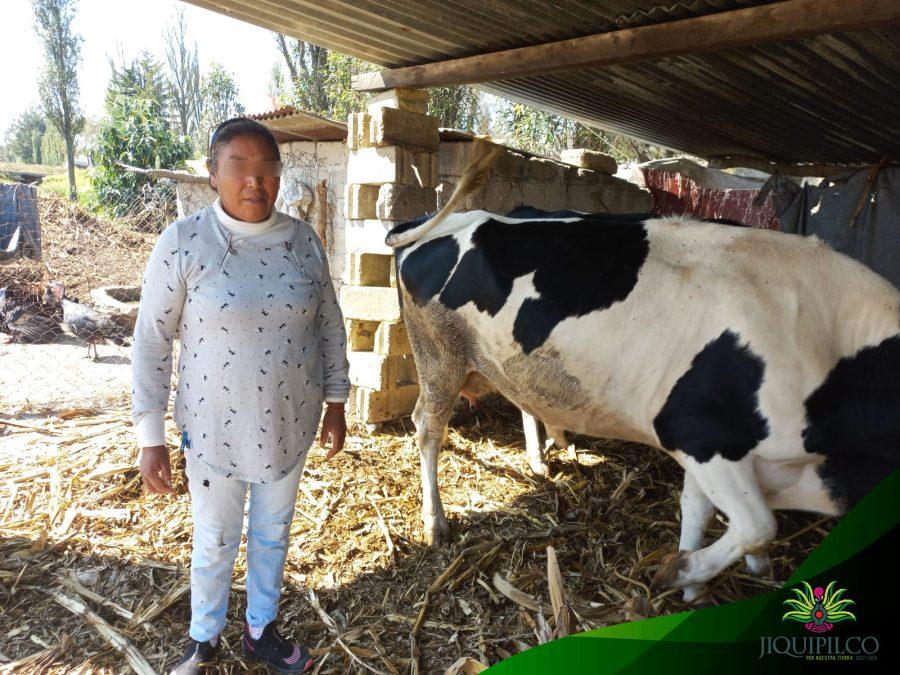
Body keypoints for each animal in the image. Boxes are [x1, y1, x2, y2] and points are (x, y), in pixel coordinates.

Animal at [384, 140, 896, 600]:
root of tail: (447, 219)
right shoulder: (701, 431)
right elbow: (757, 525)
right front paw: (683, 573)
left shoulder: (711, 447)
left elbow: (698, 510)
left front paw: (700, 585)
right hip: (439, 355)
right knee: (427, 427)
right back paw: (436, 521)